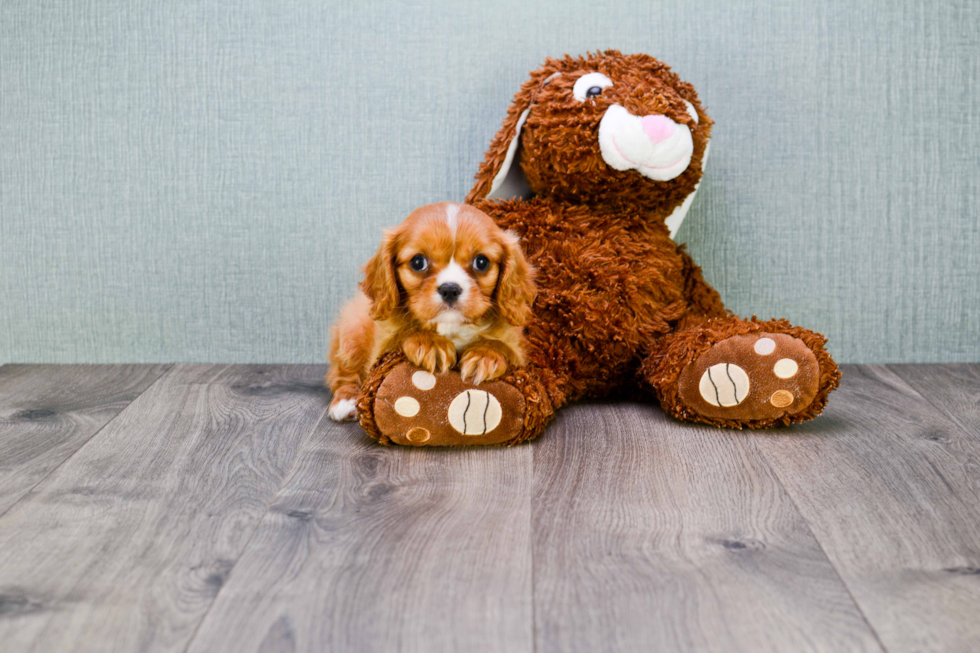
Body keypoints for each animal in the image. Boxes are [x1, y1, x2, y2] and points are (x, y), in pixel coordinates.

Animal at [328, 201, 536, 420]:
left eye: (481, 262)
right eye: (418, 262)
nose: (450, 289)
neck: (451, 327)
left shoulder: (517, 350)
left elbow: (502, 345)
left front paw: (485, 355)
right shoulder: (382, 349)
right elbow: (404, 332)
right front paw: (429, 343)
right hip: (352, 332)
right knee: (341, 375)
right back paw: (345, 402)